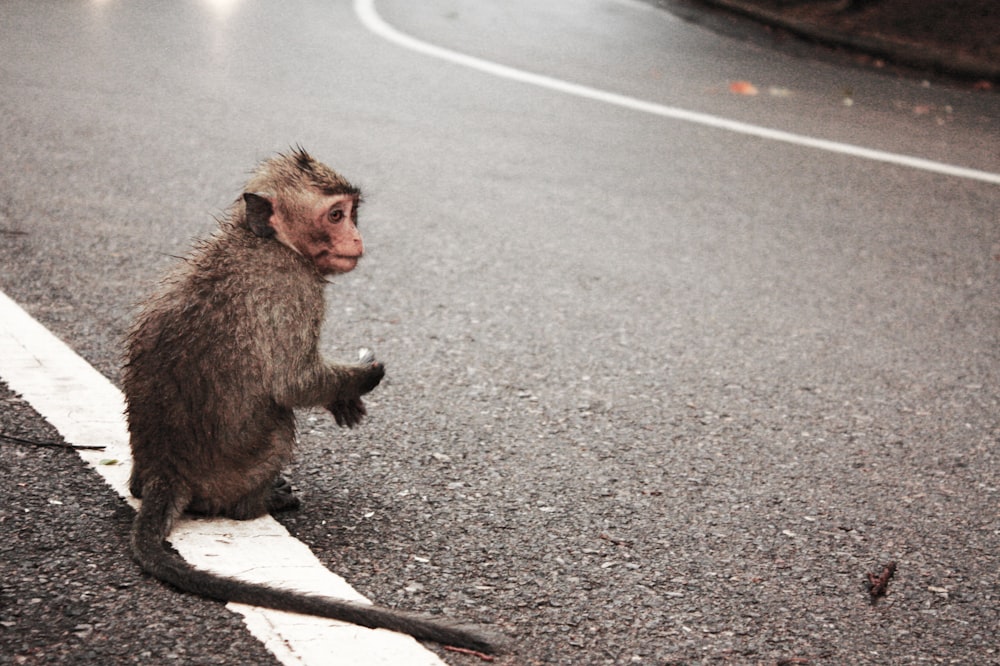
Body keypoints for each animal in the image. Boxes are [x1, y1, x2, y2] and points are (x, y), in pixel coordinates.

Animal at [123, 148, 500, 652]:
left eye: (351, 213)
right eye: (335, 215)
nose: (356, 236)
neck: (266, 241)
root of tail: (165, 472)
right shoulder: (294, 290)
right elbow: (292, 383)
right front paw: (361, 379)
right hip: (234, 470)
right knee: (279, 424)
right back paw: (257, 502)